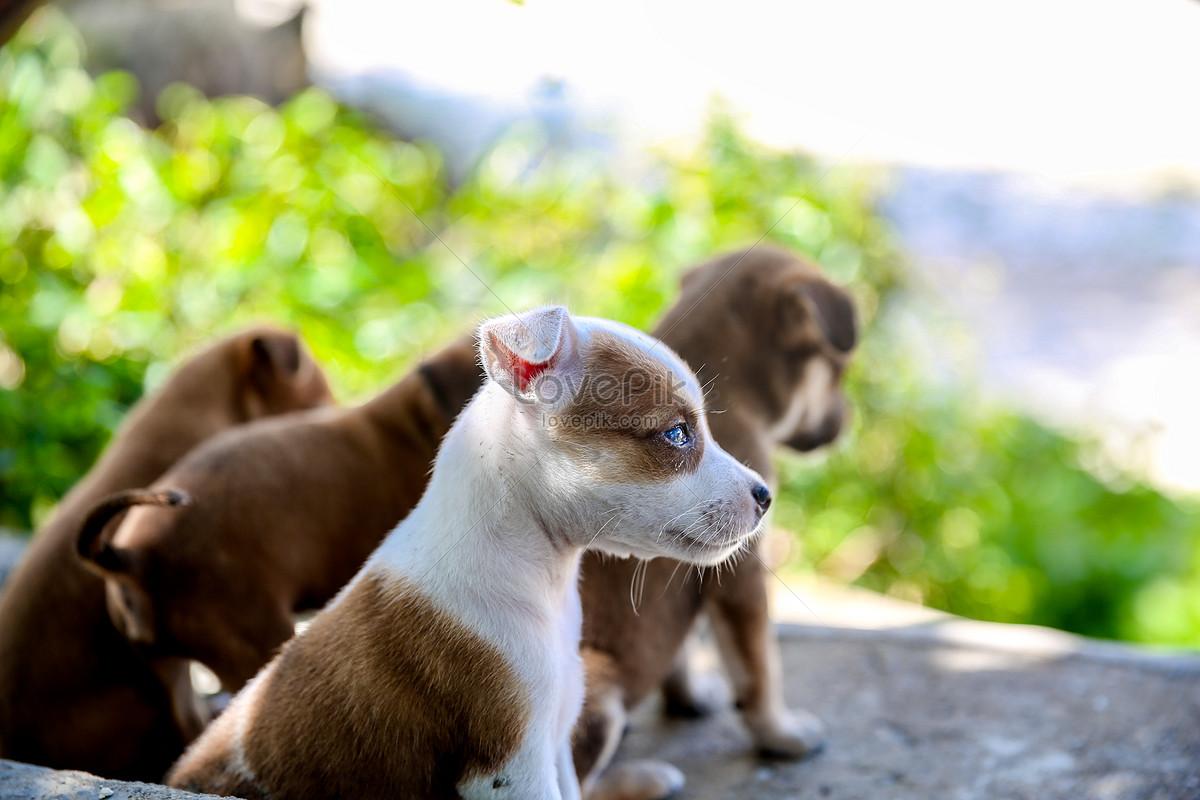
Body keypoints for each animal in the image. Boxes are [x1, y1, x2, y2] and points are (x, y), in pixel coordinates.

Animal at [571, 247, 854, 796]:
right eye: (838, 371)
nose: (847, 419)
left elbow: (681, 647)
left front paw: (688, 697)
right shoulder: (740, 568)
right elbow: (760, 666)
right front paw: (782, 734)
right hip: (593, 686)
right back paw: (646, 778)